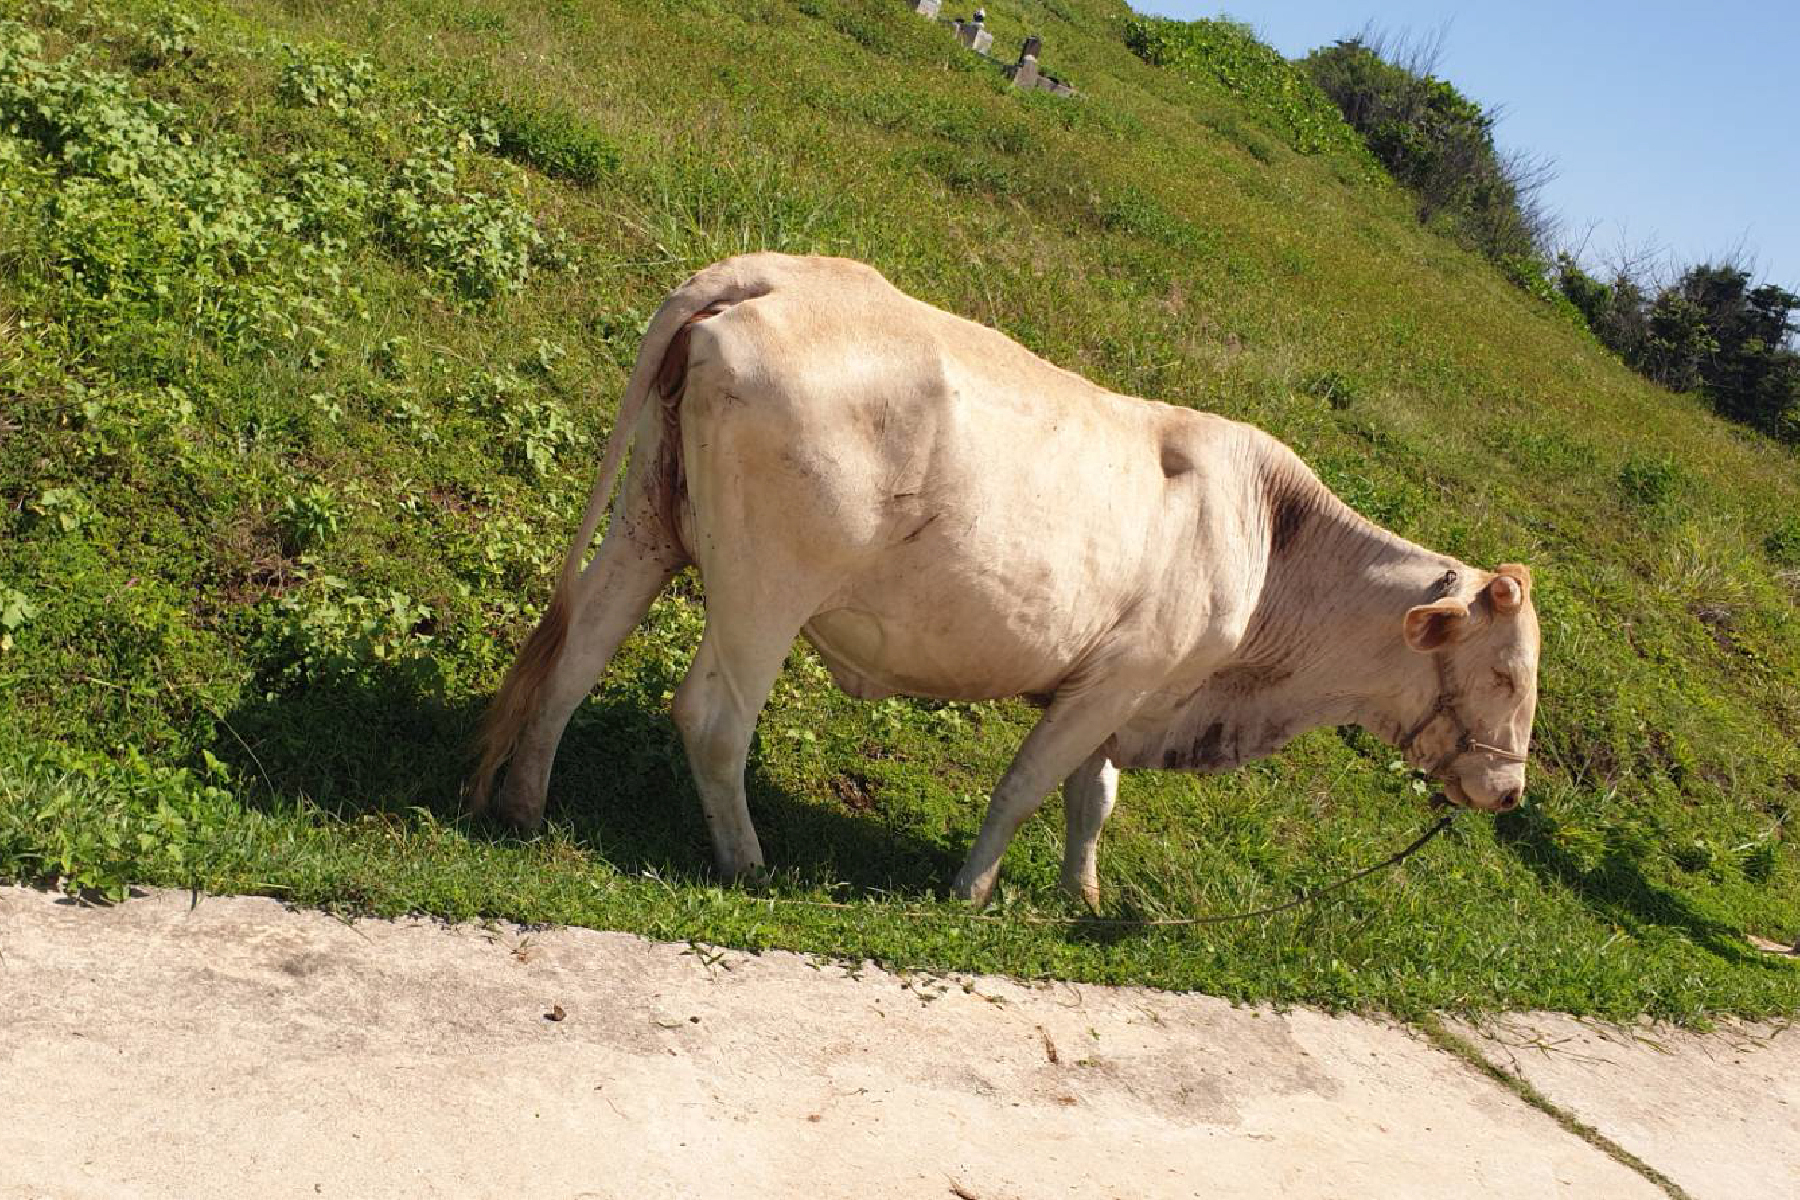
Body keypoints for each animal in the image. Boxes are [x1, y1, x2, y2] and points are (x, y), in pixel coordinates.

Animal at [471, 255, 1540, 910]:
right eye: (1506, 674)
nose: (1507, 791)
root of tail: (768, 273)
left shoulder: (1123, 688)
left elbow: (1090, 799)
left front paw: (1084, 899)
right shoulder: (1120, 679)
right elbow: (1027, 786)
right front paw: (970, 894)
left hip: (650, 523)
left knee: (578, 652)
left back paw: (523, 805)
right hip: (767, 591)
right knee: (711, 717)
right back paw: (749, 864)